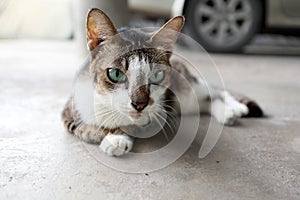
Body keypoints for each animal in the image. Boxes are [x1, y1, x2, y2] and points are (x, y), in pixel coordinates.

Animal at [61, 8, 262, 156]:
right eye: (116, 74)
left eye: (156, 76)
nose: (139, 104)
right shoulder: (70, 112)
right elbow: (87, 127)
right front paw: (113, 136)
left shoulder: (156, 112)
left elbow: (139, 122)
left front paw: (118, 137)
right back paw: (227, 112)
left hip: (186, 91)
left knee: (216, 91)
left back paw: (234, 109)